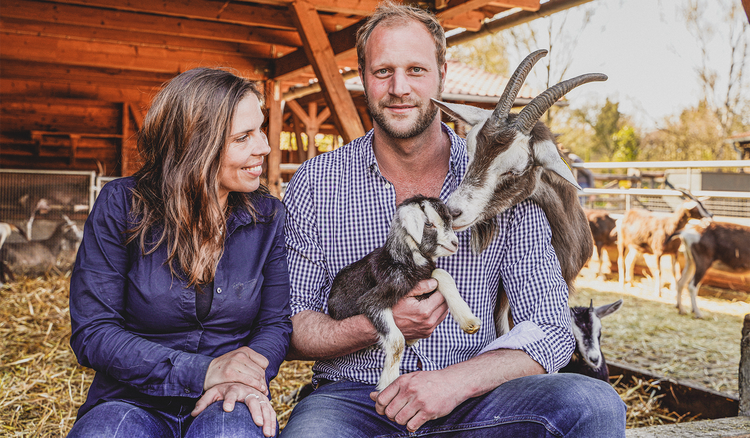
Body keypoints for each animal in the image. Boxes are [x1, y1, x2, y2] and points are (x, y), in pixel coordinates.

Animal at [328, 195, 482, 390]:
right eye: (429, 224)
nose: (455, 244)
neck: (403, 262)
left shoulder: (424, 276)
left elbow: (443, 274)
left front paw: (469, 321)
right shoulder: (374, 300)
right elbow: (397, 341)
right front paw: (389, 383)